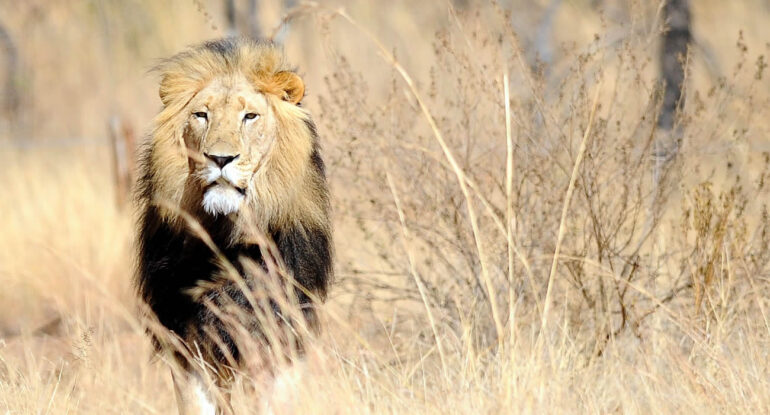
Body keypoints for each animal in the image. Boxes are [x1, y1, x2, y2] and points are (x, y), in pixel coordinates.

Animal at [134, 38, 332, 414]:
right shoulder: (185, 339)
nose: (220, 159)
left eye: (249, 116)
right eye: (201, 115)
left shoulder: (279, 335)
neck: (225, 236)